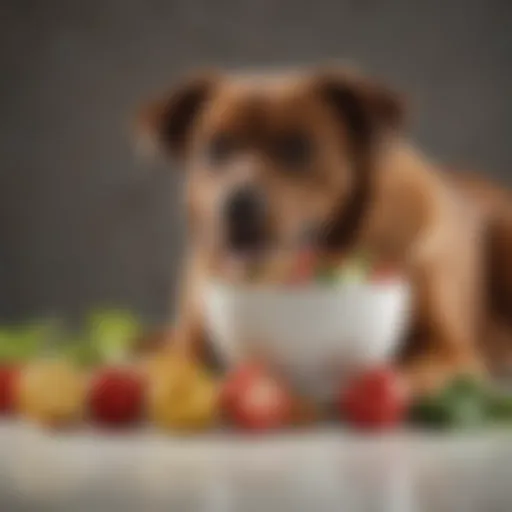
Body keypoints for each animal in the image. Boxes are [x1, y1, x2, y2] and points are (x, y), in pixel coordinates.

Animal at [135, 66, 512, 396]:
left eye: (297, 147)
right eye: (217, 147)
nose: (238, 204)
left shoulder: (449, 350)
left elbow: (409, 372)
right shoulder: (187, 342)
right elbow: (170, 363)